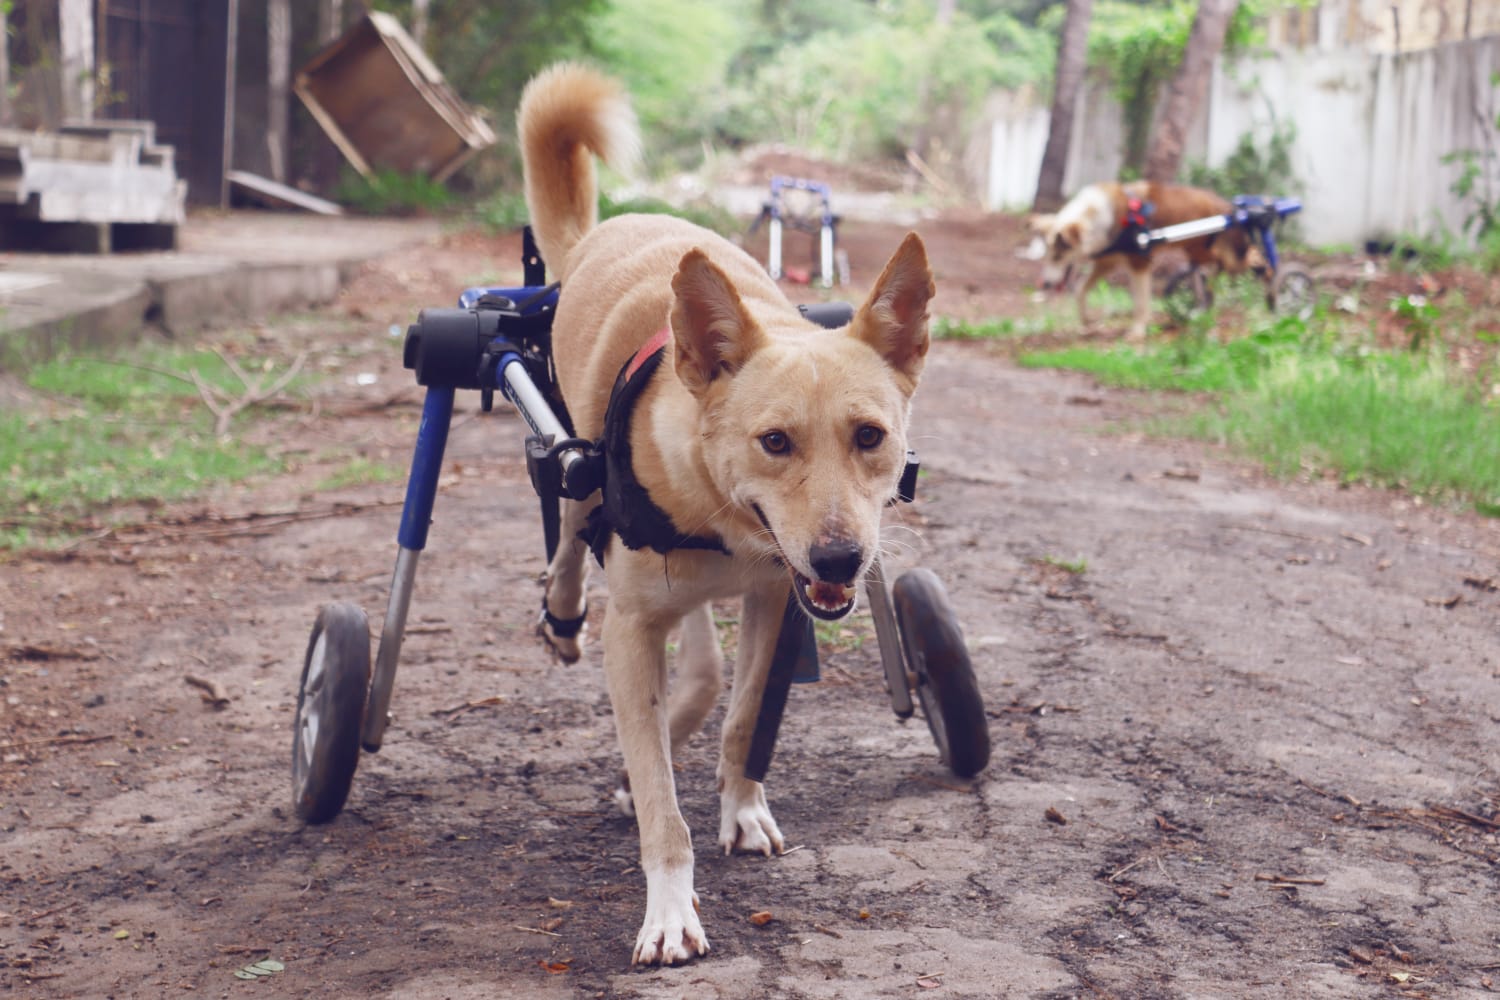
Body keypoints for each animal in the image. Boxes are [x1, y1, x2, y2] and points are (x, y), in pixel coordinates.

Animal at [522, 64, 930, 971]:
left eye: (870, 436)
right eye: (775, 441)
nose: (842, 561)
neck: (720, 511)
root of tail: (611, 228)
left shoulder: (774, 599)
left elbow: (744, 722)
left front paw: (740, 808)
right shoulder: (632, 627)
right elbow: (660, 808)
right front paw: (670, 910)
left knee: (703, 674)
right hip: (575, 470)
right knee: (568, 532)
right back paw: (563, 614)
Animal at [1038, 177, 1272, 338]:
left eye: (1058, 256)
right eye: (1048, 256)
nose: (1046, 284)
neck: (1097, 219)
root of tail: (1225, 206)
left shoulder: (1139, 263)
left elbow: (1141, 303)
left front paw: (1137, 332)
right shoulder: (1107, 264)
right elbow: (1080, 290)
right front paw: (1086, 321)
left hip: (1219, 253)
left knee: (1251, 255)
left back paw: (1268, 276)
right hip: (1197, 250)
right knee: (1214, 268)